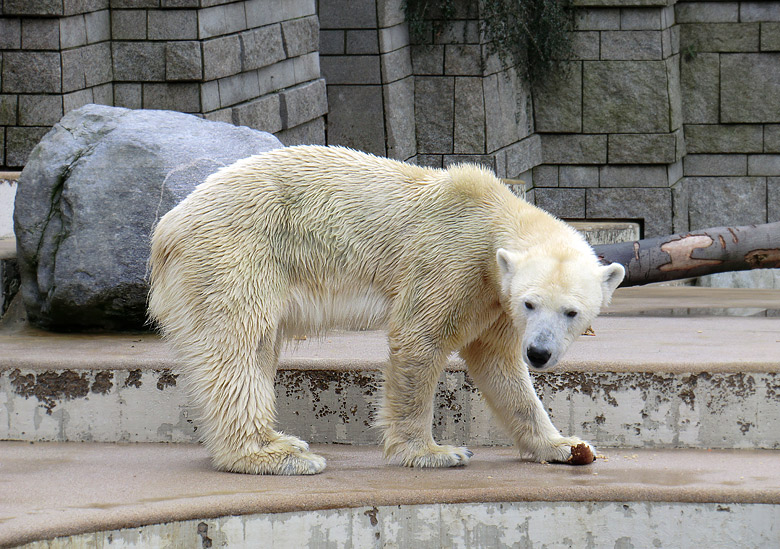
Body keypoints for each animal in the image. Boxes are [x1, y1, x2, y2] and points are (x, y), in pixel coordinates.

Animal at [148, 143, 628, 474]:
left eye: (572, 312)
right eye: (531, 303)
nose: (540, 353)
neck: (493, 213)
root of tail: (167, 229)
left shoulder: (493, 300)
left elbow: (499, 365)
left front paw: (566, 446)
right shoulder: (452, 262)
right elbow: (420, 340)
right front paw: (435, 451)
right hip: (234, 256)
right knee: (238, 346)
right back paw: (277, 454)